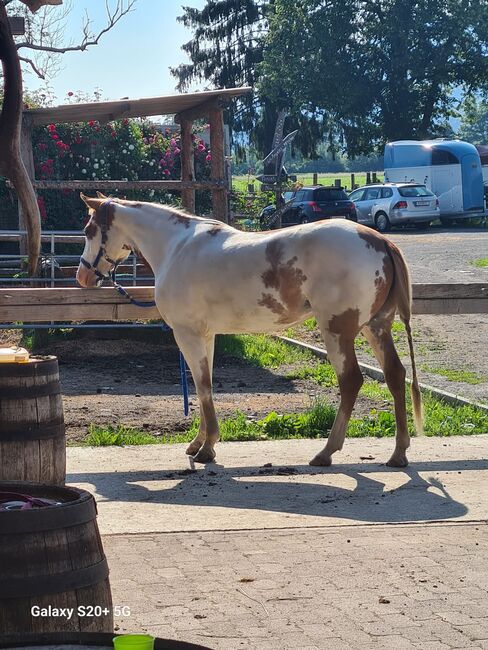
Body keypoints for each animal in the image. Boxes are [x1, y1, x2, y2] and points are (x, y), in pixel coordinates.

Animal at [77, 192, 424, 466]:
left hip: (337, 331)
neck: (177, 248)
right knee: (395, 375)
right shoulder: (206, 335)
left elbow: (203, 386)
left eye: (89, 230)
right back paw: (398, 453)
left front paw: (206, 449)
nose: (83, 276)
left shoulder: (187, 335)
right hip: (375, 327)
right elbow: (205, 386)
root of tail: (379, 240)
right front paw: (199, 442)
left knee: (351, 381)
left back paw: (326, 452)